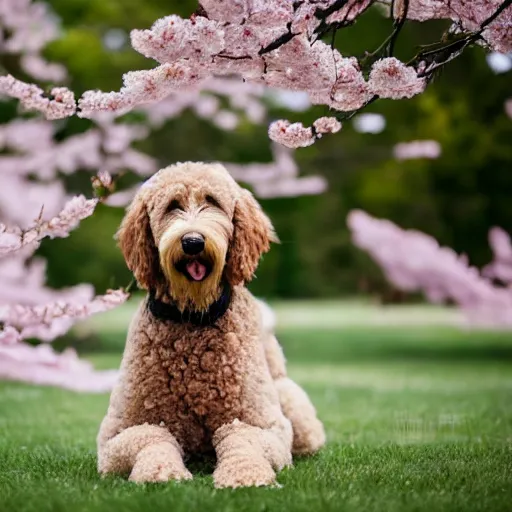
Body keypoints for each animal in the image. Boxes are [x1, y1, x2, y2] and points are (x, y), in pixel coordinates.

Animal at [98, 163, 324, 488]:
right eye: (172, 206)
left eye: (213, 202)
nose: (193, 242)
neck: (193, 317)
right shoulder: (117, 435)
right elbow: (152, 438)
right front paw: (161, 472)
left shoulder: (264, 426)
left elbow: (242, 440)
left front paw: (245, 476)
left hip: (292, 409)